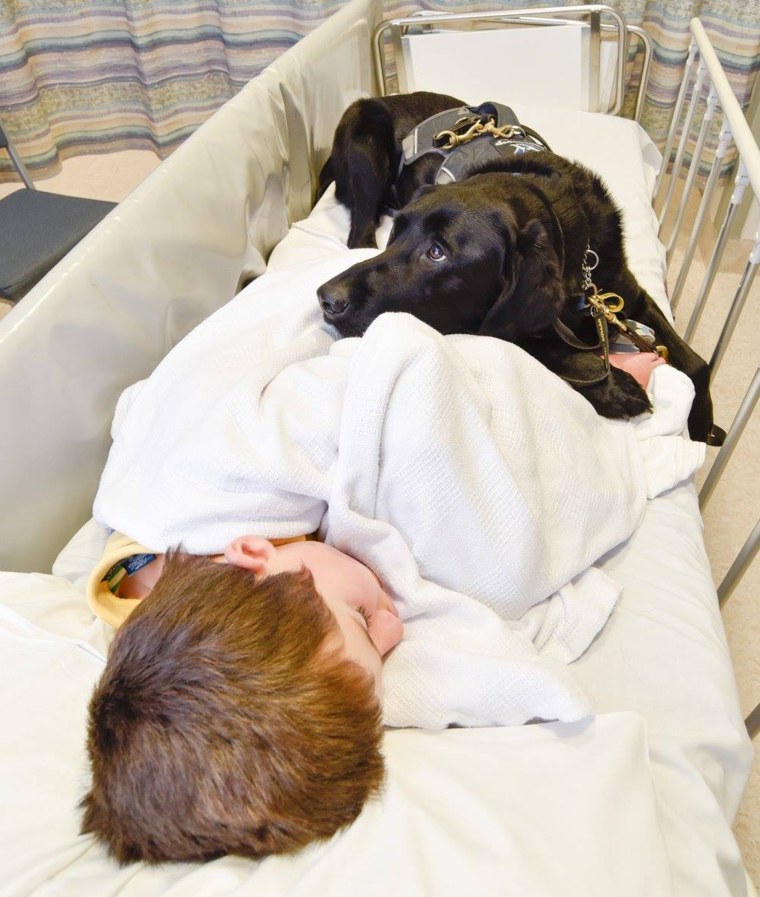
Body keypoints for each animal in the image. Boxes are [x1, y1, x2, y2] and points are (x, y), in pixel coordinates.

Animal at [314, 93, 720, 442]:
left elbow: (698, 365)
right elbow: (543, 345)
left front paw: (704, 427)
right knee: (359, 235)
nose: (325, 298)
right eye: (396, 234)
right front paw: (608, 384)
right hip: (365, 143)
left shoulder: (626, 294)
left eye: (437, 251)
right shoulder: (495, 324)